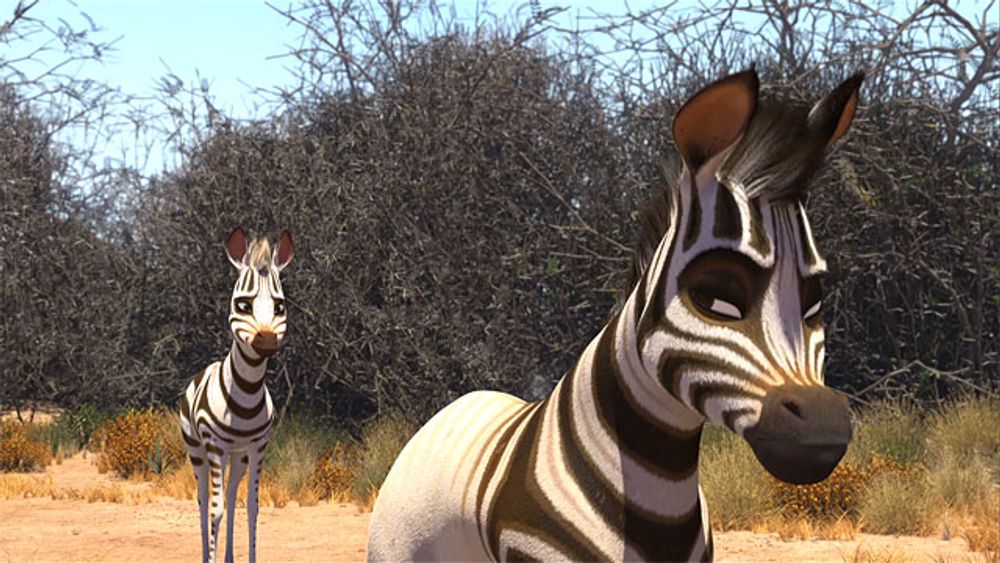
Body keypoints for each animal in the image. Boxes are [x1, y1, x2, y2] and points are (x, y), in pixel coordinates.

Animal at [179, 227, 294, 563]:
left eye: (279, 307)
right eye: (243, 305)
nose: (266, 341)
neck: (245, 392)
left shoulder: (258, 446)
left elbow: (252, 508)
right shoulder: (214, 444)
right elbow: (215, 510)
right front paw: (211, 557)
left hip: (237, 454)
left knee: (230, 494)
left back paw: (228, 555)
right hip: (197, 449)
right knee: (204, 499)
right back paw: (207, 553)